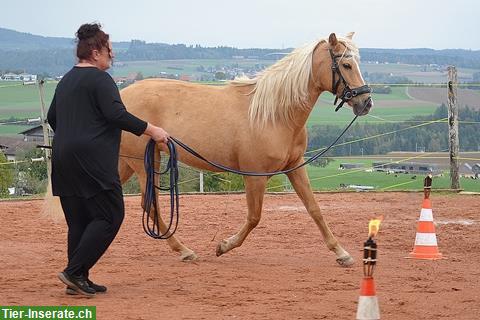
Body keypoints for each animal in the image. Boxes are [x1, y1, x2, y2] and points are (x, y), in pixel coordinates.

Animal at [118, 33, 374, 268]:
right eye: (346, 64)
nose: (366, 102)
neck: (274, 115)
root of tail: (121, 96)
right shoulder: (255, 176)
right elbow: (254, 217)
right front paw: (224, 246)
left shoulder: (294, 166)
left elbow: (314, 209)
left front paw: (341, 253)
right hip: (143, 163)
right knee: (150, 205)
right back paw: (184, 250)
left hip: (129, 162)